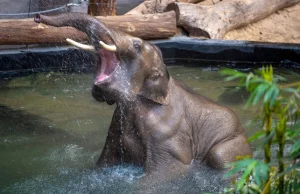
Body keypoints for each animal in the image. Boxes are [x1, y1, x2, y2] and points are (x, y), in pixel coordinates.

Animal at [33, 12, 253, 183]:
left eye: (137, 46)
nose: (37, 17)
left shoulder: (169, 133)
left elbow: (167, 172)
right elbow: (102, 163)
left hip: (232, 144)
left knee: (219, 156)